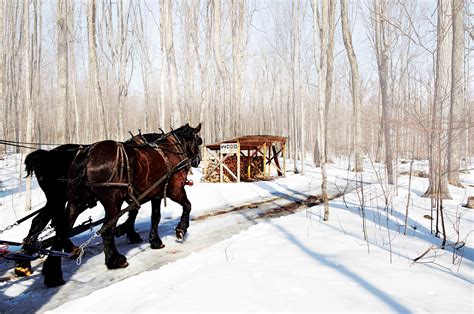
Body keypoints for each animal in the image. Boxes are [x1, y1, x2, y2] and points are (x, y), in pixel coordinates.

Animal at [41, 122, 202, 288]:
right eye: (199, 141)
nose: (198, 161)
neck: (170, 149)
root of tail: (87, 155)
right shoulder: (174, 189)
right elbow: (187, 205)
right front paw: (181, 229)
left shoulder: (155, 194)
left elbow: (155, 216)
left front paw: (154, 240)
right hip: (113, 202)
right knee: (106, 230)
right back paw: (115, 260)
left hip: (76, 201)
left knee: (62, 232)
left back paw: (53, 273)